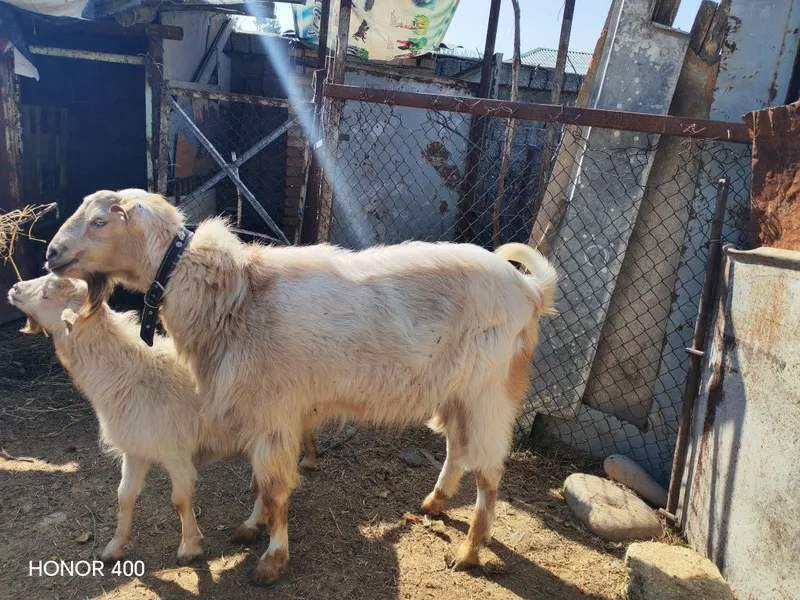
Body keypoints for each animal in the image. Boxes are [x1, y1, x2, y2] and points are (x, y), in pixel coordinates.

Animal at [7, 274, 318, 564]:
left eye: (47, 295)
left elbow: (179, 500)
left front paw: (189, 547)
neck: (129, 372)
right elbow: (124, 495)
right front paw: (114, 547)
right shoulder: (135, 449)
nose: (13, 288)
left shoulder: (176, 450)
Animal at [46, 189, 557, 585]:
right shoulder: (262, 414)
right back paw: (434, 502)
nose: (51, 253)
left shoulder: (274, 411)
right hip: (455, 393)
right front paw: (251, 527)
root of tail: (533, 292)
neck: (236, 295)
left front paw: (272, 561)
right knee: (457, 448)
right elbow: (259, 479)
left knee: (488, 472)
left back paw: (469, 552)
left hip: (489, 393)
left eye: (99, 222)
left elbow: (275, 487)